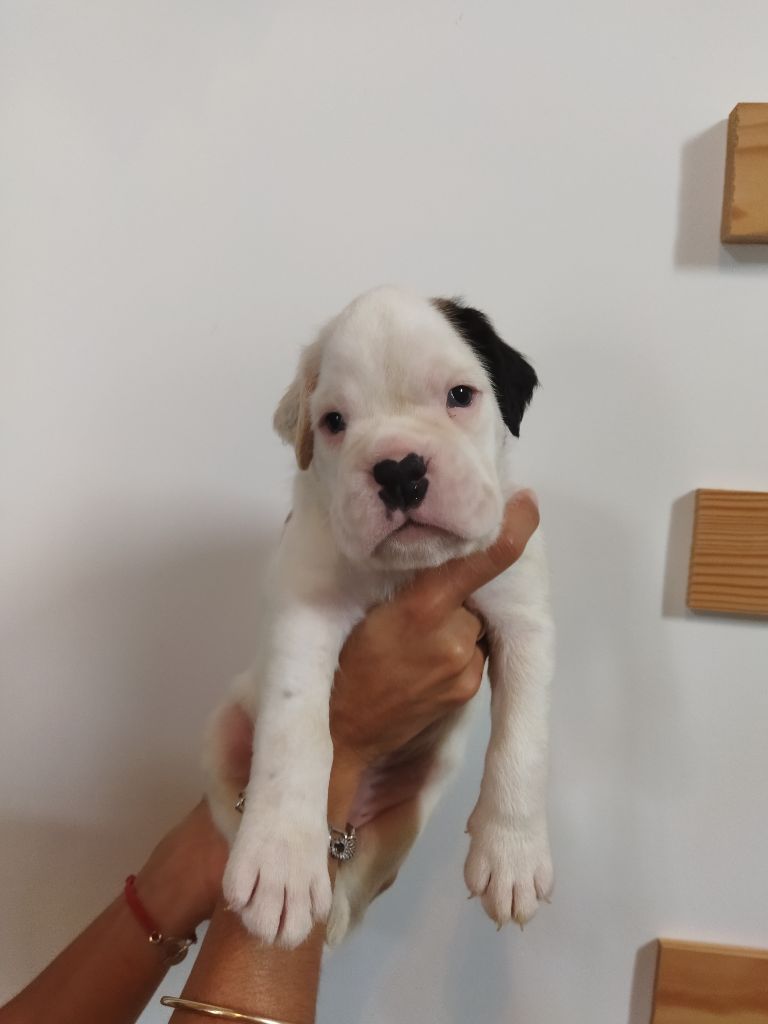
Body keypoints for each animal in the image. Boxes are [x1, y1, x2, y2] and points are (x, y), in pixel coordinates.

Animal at [204, 286, 554, 948]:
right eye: (334, 422)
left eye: (460, 396)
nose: (399, 469)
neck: (409, 569)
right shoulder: (304, 610)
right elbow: (296, 734)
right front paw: (281, 862)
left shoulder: (522, 617)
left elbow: (520, 740)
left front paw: (513, 854)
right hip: (221, 735)